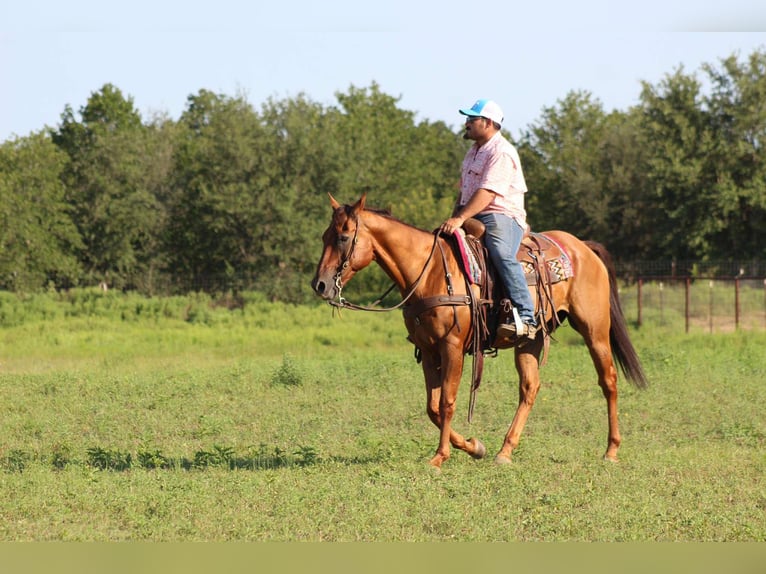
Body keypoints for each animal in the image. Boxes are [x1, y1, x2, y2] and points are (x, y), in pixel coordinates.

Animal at [311, 194, 648, 469]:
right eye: (324, 235)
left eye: (343, 237)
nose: (320, 285)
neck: (431, 271)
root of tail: (583, 248)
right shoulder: (428, 349)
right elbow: (432, 407)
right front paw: (474, 447)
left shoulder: (452, 346)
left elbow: (447, 402)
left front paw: (440, 456)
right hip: (531, 340)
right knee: (530, 387)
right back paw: (505, 451)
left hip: (594, 330)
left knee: (608, 381)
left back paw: (611, 450)